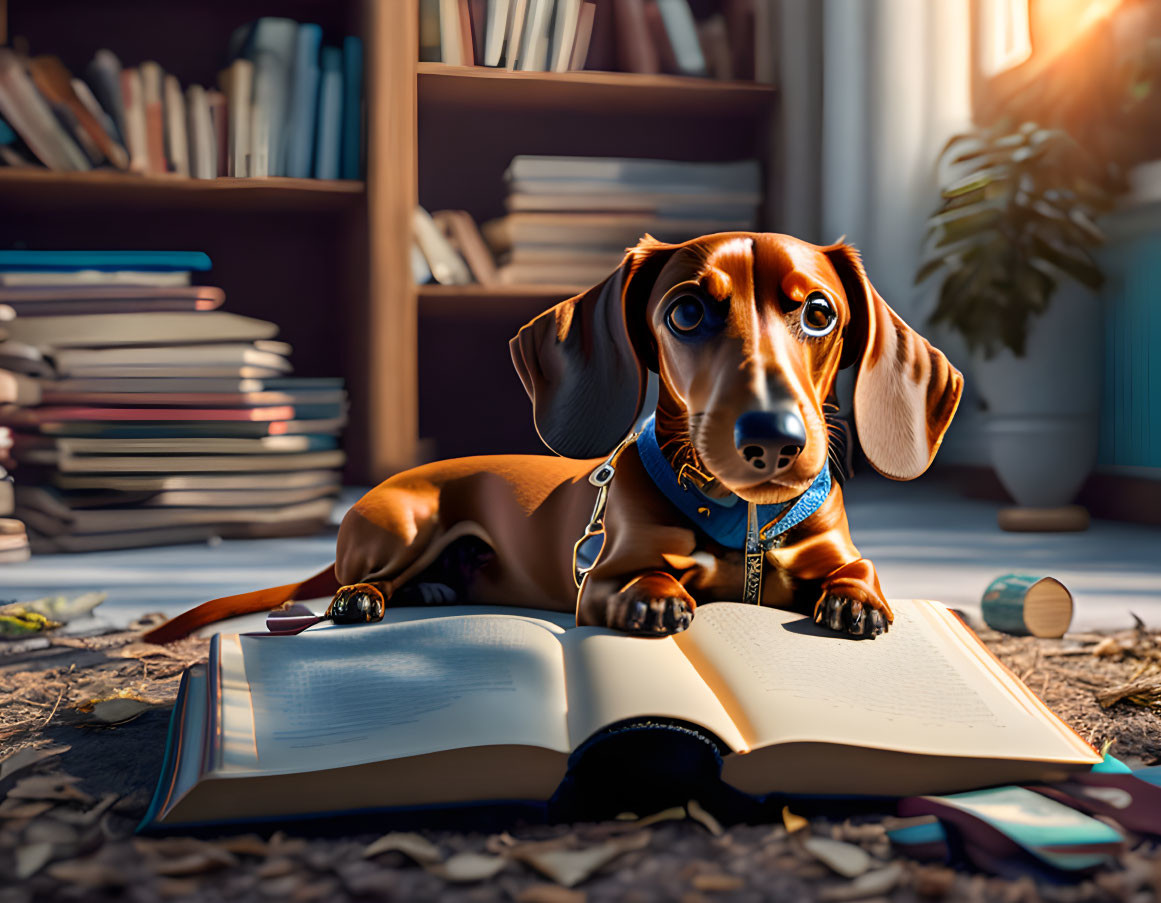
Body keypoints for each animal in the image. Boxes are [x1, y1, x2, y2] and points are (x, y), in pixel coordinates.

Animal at [145, 232, 961, 640]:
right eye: (687, 312)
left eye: (819, 312)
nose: (774, 440)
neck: (743, 517)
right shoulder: (599, 575)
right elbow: (641, 579)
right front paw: (655, 597)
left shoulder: (833, 551)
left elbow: (860, 574)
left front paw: (855, 602)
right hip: (401, 523)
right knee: (361, 579)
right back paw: (363, 600)